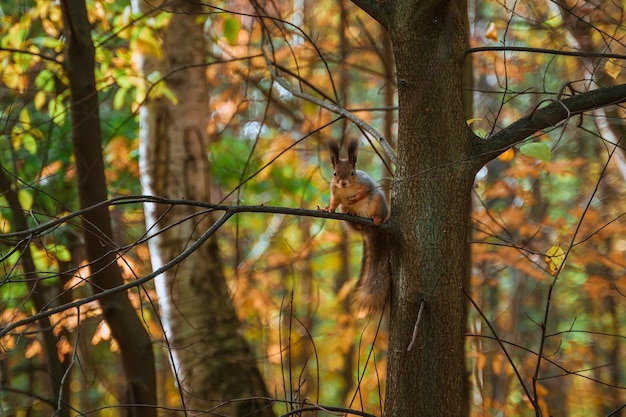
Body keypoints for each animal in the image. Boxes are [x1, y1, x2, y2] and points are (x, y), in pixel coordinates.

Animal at [322, 139, 390, 316]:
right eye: (335, 173)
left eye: (352, 173)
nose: (343, 182)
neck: (346, 189)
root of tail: (369, 229)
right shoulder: (335, 193)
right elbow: (334, 202)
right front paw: (328, 209)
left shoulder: (366, 185)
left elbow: (363, 193)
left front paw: (354, 199)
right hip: (345, 213)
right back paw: (352, 215)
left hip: (378, 202)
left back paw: (376, 218)